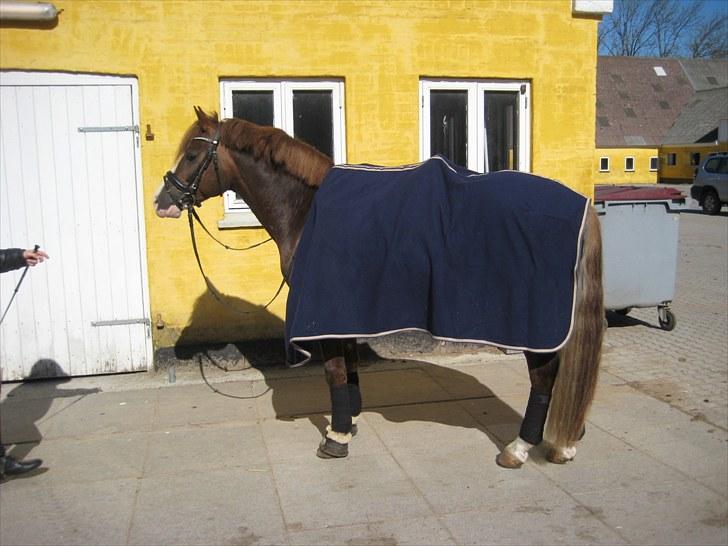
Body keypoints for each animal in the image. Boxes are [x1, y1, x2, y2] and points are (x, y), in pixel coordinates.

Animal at [154, 107, 604, 468]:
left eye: (192, 154)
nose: (163, 201)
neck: (305, 210)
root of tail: (579, 206)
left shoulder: (325, 310)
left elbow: (334, 372)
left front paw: (335, 438)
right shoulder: (344, 313)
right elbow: (350, 371)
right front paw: (349, 423)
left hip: (534, 324)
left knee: (544, 379)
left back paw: (520, 447)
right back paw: (564, 441)